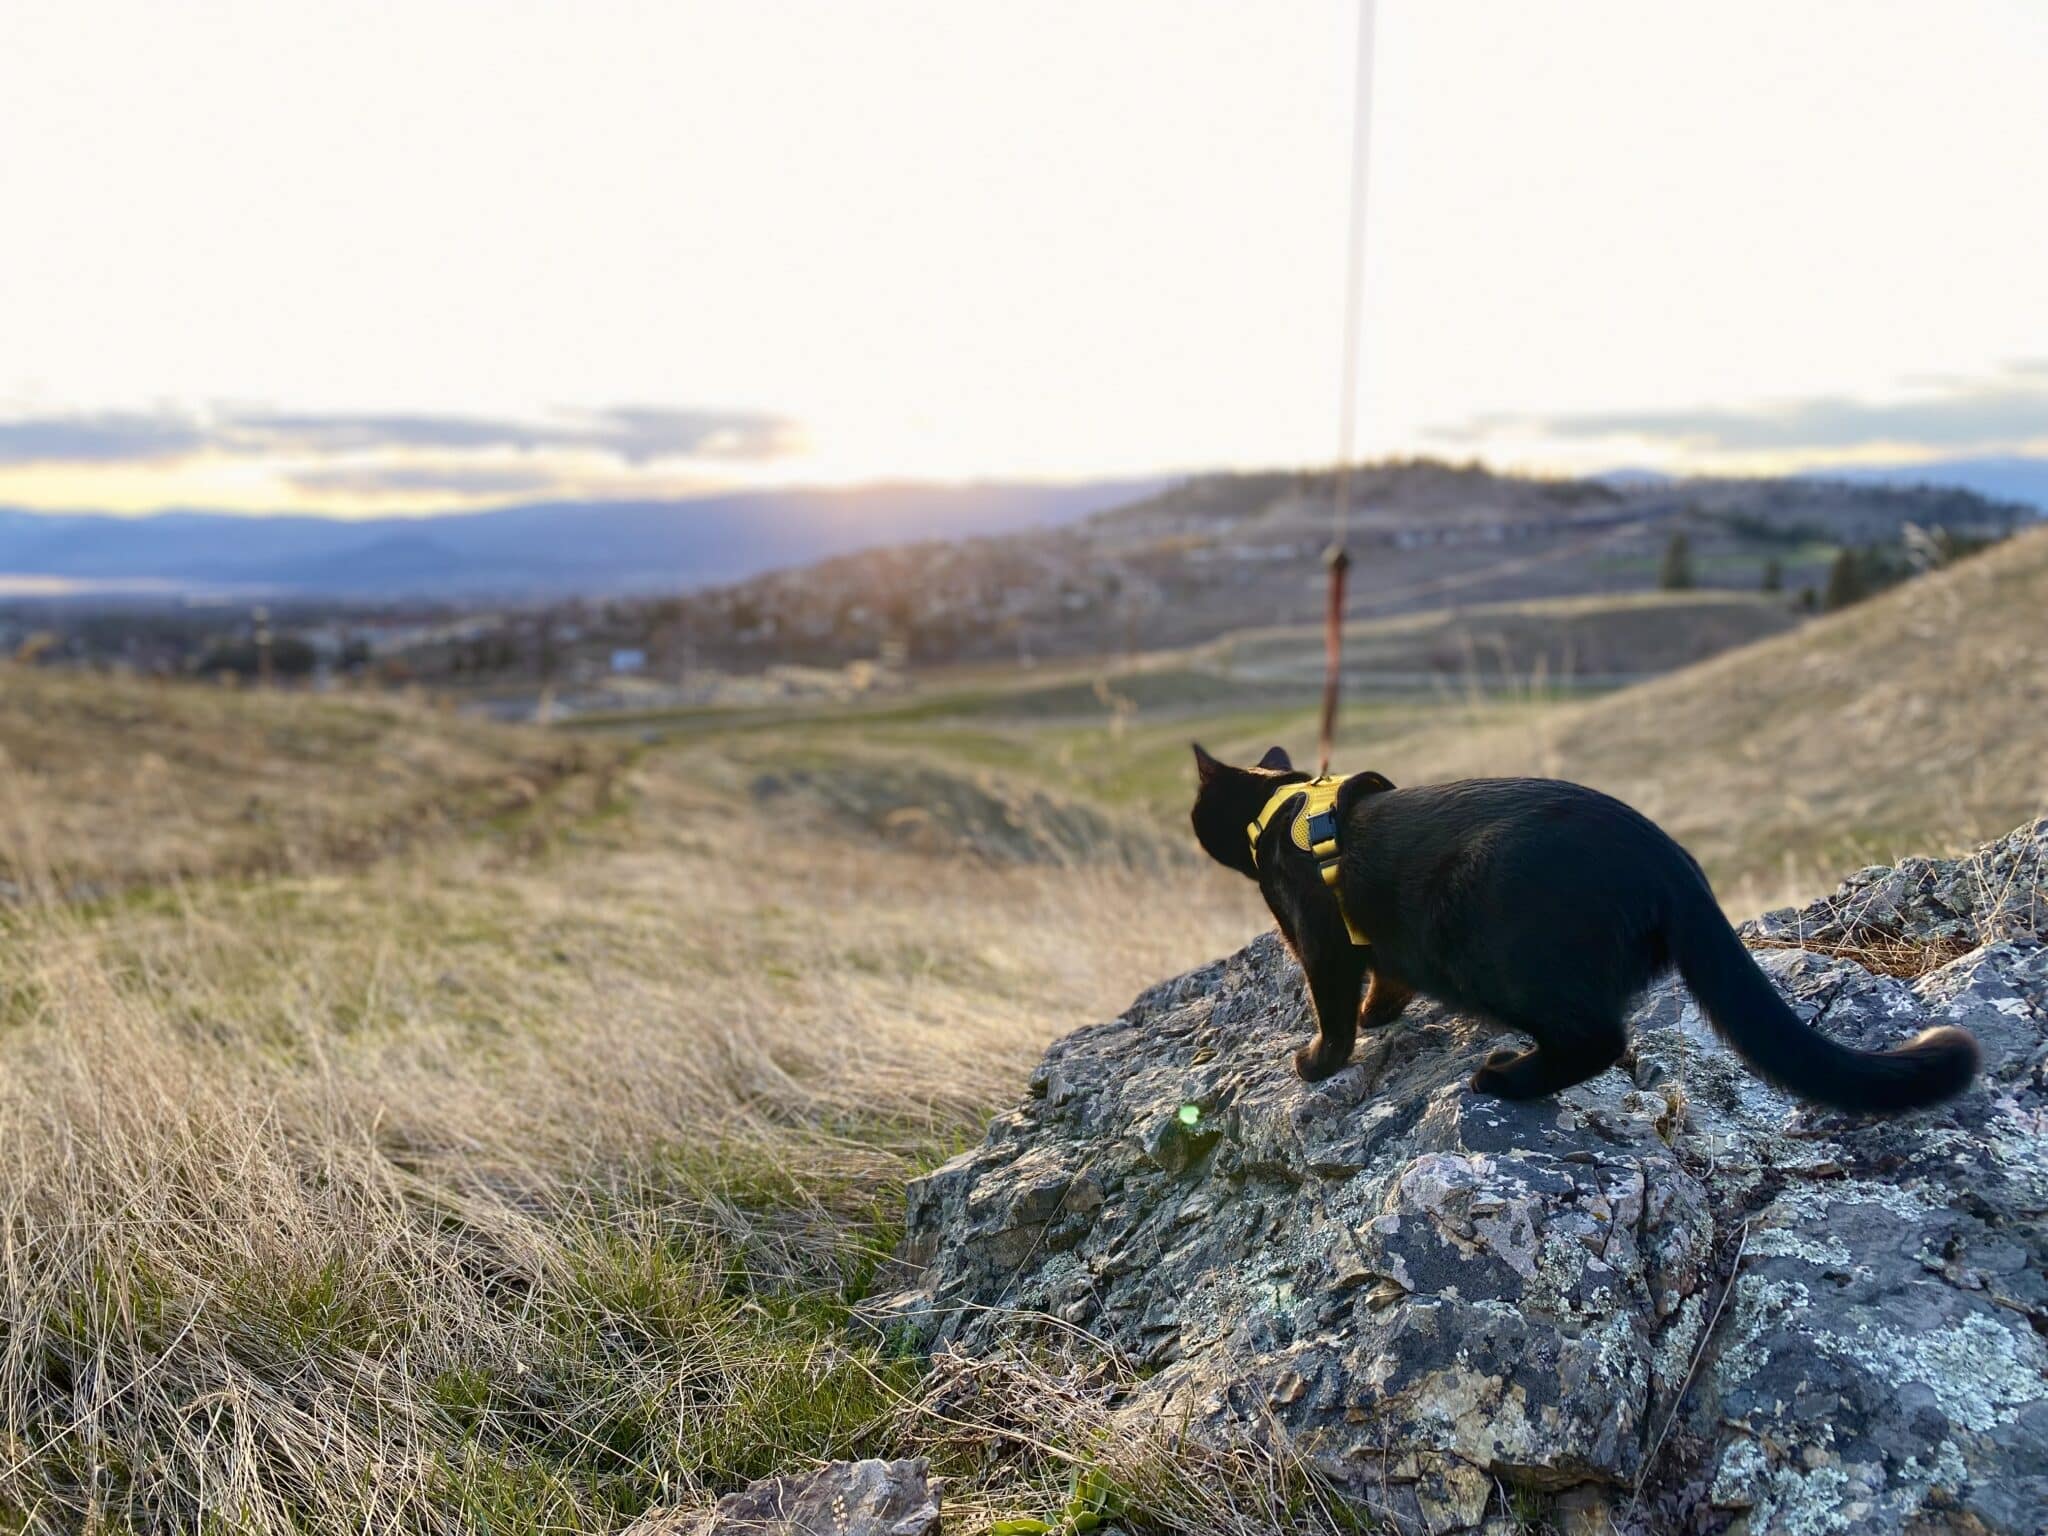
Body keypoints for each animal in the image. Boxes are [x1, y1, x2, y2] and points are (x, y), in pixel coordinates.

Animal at [1196, 741, 1974, 1114]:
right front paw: (1379, 1015)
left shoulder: (1322, 941)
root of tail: (1670, 861)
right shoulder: (1377, 943)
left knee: (1598, 1039)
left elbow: (1332, 1011)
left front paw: (1317, 1063)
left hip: (1484, 943)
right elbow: (1386, 981)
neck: (1283, 807)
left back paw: (1504, 1078)